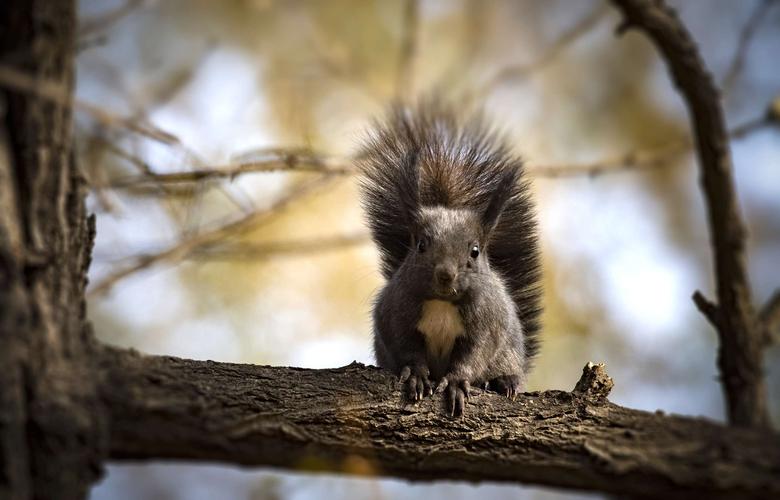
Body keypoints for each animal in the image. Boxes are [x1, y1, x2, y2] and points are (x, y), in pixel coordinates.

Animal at [356, 99, 540, 416]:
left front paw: (456, 382)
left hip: (510, 353)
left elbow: (475, 353)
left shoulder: (487, 321)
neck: (442, 303)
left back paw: (504, 381)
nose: (445, 274)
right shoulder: (396, 312)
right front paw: (417, 375)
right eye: (420, 245)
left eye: (475, 251)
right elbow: (406, 345)